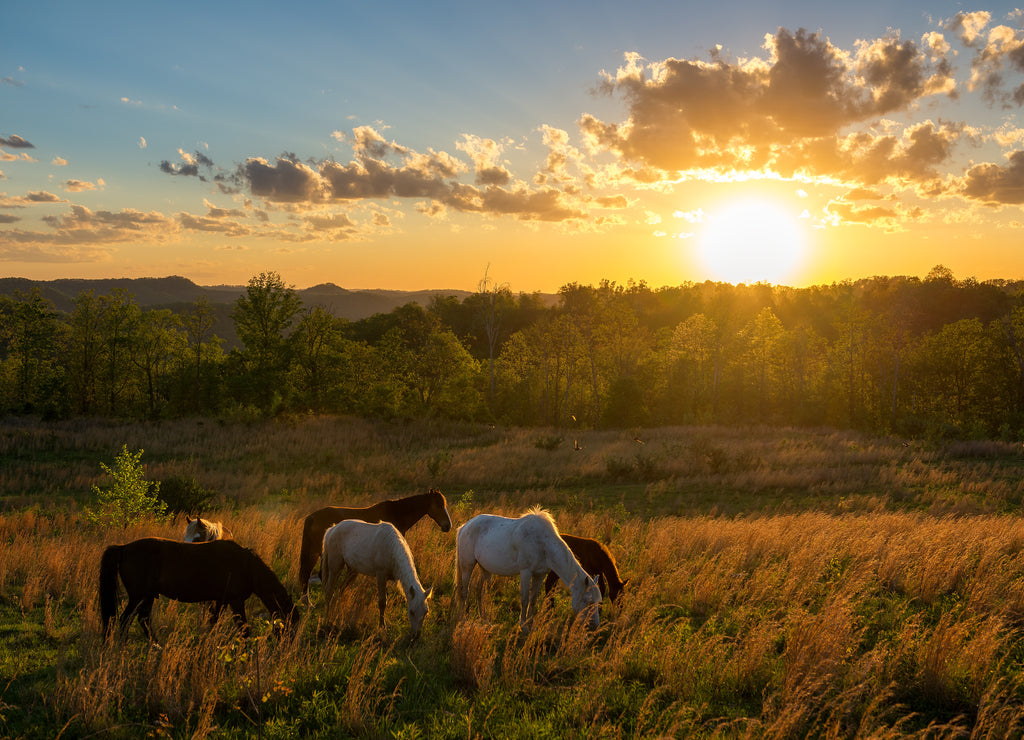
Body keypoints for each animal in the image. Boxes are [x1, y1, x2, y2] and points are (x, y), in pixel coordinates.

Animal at [99, 536, 294, 638]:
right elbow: (244, 628)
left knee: (143, 620)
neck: (246, 565)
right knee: (125, 620)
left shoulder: (221, 601)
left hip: (147, 597)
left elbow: (212, 622)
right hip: (138, 596)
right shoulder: (235, 601)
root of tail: (124, 548)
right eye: (292, 624)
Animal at [454, 505, 598, 634]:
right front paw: (523, 626)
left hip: (484, 568)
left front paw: (531, 626)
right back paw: (461, 620)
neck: (542, 544)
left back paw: (484, 619)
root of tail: (464, 526)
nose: (594, 626)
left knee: (479, 591)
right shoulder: (525, 572)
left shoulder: (540, 575)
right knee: (464, 592)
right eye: (588, 601)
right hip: (467, 565)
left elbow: (533, 600)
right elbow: (524, 599)